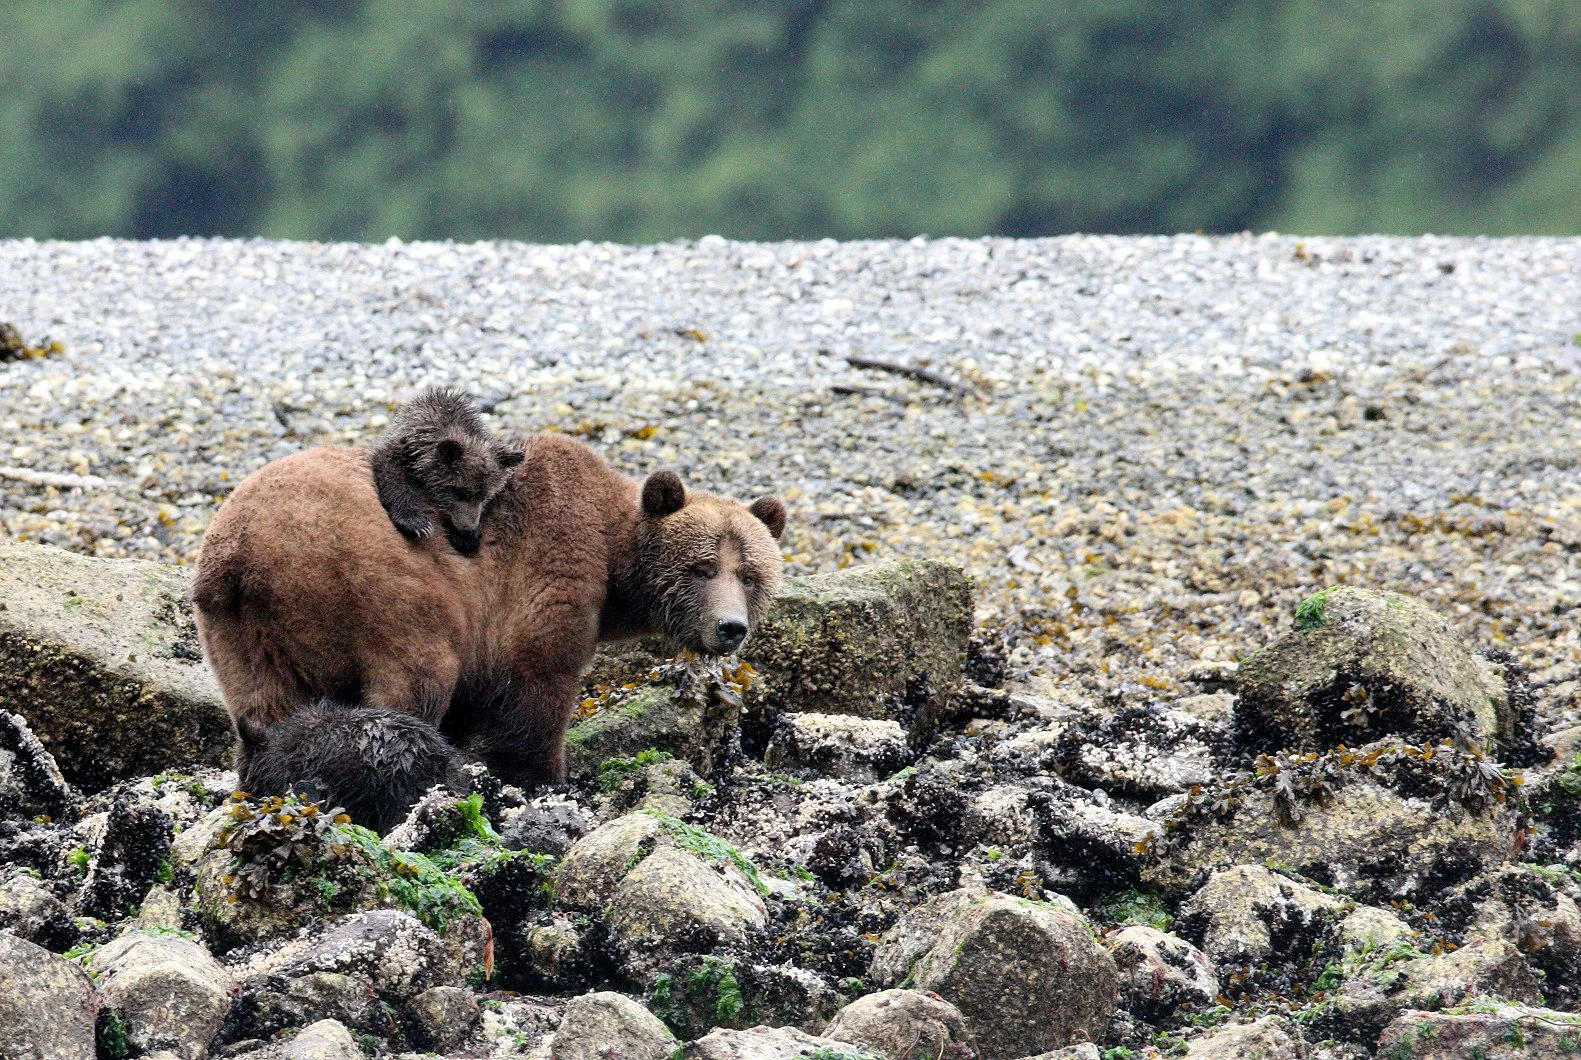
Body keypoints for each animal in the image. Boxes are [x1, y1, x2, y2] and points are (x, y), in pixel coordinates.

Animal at [192, 432, 786, 788]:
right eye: (702, 568)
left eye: (750, 574)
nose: (730, 628)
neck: (614, 556)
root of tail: (240, 549)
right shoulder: (549, 574)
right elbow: (535, 690)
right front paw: (547, 777)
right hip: (374, 589)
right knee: (415, 680)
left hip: (244, 630)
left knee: (263, 710)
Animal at [369, 386, 525, 554]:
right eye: (460, 492)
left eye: (485, 496)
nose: (467, 528)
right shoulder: (400, 449)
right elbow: (392, 475)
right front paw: (417, 523)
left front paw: (465, 539)